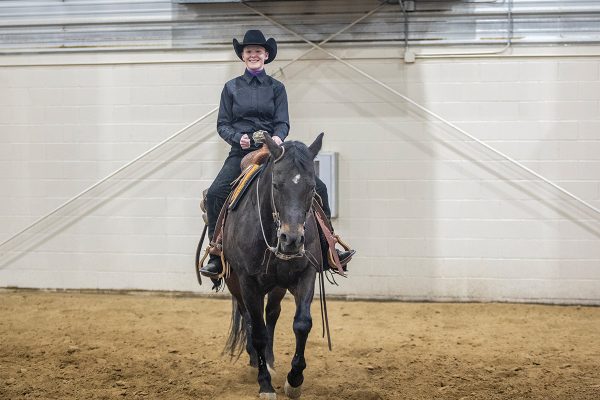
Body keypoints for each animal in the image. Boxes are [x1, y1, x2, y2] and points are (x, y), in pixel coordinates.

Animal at [221, 133, 324, 398]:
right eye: (276, 185)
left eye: (312, 187)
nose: (291, 240)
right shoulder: (247, 282)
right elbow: (257, 332)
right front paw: (265, 384)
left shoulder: (306, 274)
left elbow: (302, 324)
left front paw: (294, 380)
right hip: (235, 284)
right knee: (248, 318)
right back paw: (255, 362)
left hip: (277, 285)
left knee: (272, 314)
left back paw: (269, 359)